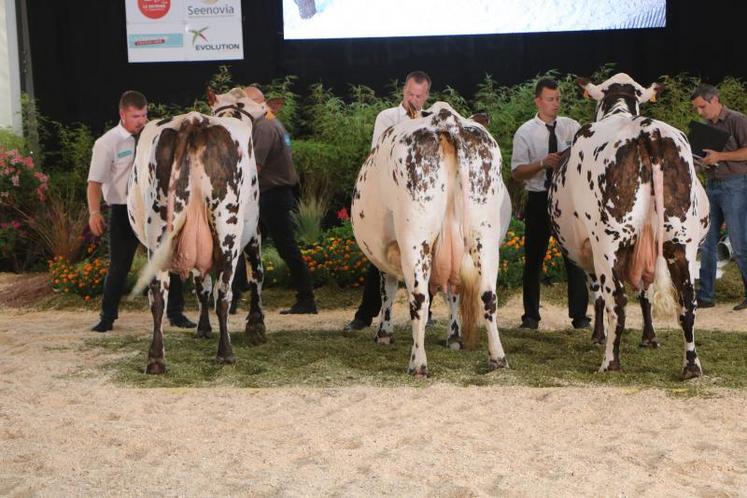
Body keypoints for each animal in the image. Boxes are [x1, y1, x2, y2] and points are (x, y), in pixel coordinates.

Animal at [128, 88, 266, 374]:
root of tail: (193, 121)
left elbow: (201, 284)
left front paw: (203, 328)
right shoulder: (253, 231)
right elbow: (256, 273)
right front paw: (256, 325)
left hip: (159, 230)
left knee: (158, 294)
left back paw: (156, 359)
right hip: (228, 227)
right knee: (224, 291)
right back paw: (226, 353)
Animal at [354, 102, 512, 378]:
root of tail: (447, 120)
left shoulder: (387, 254)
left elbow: (388, 290)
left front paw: (384, 333)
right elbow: (454, 293)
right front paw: (454, 337)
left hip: (415, 237)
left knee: (418, 298)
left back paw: (417, 364)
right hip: (484, 234)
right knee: (488, 296)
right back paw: (497, 358)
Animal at [548, 73, 712, 378]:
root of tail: (649, 132)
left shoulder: (590, 251)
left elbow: (599, 295)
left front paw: (598, 336)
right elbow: (645, 292)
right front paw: (649, 337)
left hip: (608, 241)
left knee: (617, 300)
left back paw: (609, 362)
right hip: (681, 241)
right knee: (686, 301)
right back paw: (691, 366)